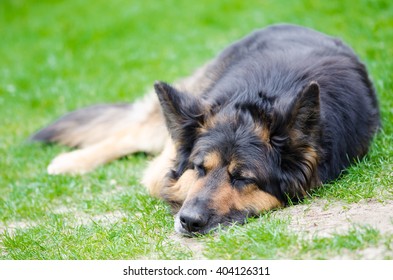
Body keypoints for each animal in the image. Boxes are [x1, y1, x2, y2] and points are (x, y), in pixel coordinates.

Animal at [30, 24, 380, 235]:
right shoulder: (168, 165)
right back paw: (70, 161)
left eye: (243, 179)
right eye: (199, 168)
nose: (188, 222)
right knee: (128, 134)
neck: (263, 95)